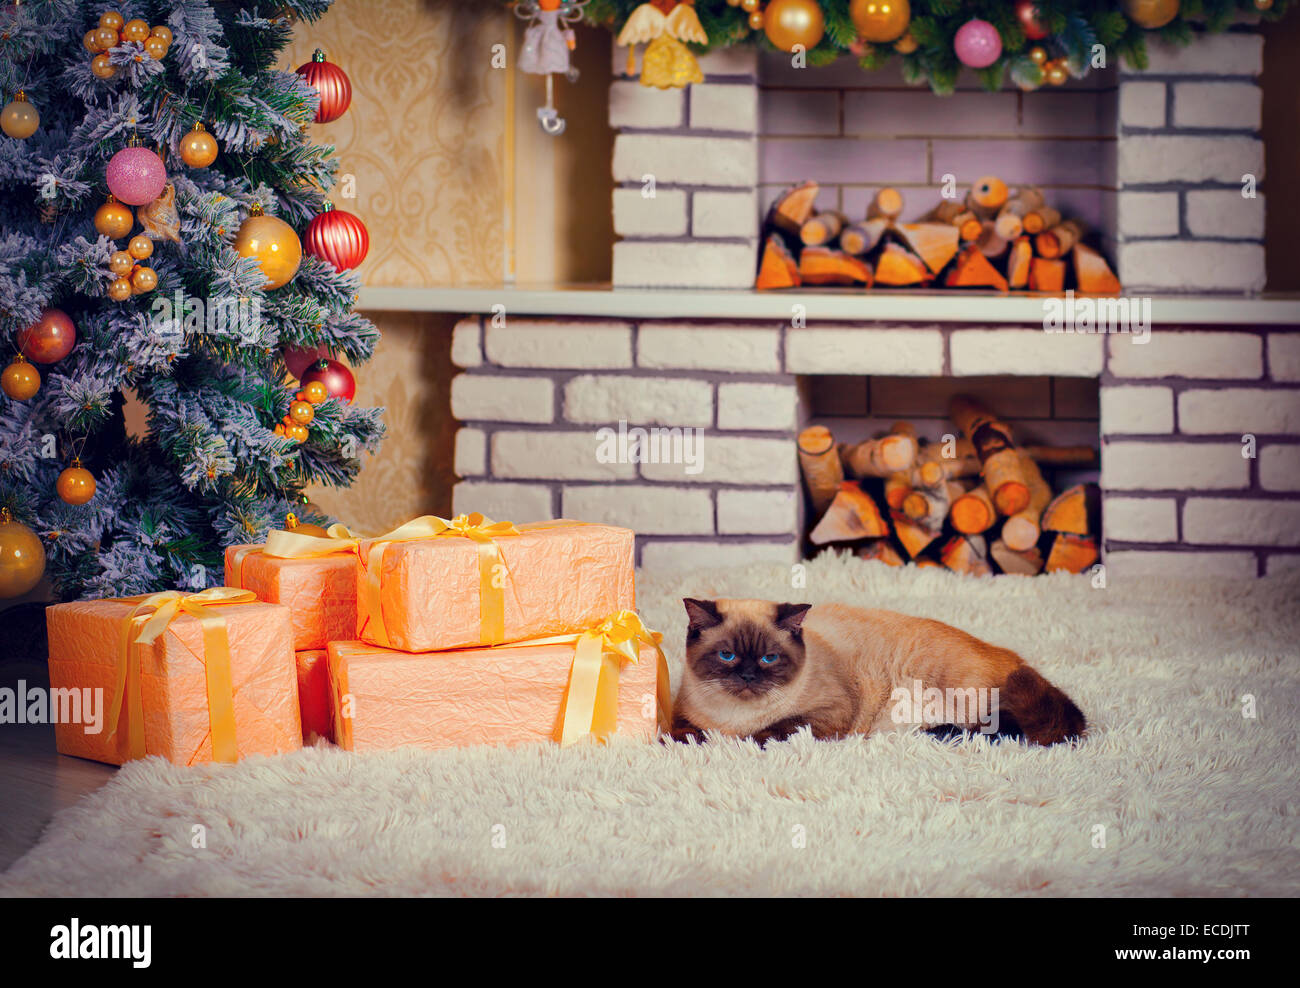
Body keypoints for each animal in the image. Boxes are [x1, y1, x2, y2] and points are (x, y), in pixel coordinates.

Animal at [670, 595, 1086, 748]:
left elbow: (775, 730)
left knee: (1005, 730)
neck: (736, 717)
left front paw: (742, 742)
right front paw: (692, 741)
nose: (747, 677)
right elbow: (682, 731)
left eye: (769, 659)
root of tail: (1016, 659)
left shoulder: (828, 713)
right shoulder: (683, 712)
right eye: (727, 655)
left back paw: (940, 734)